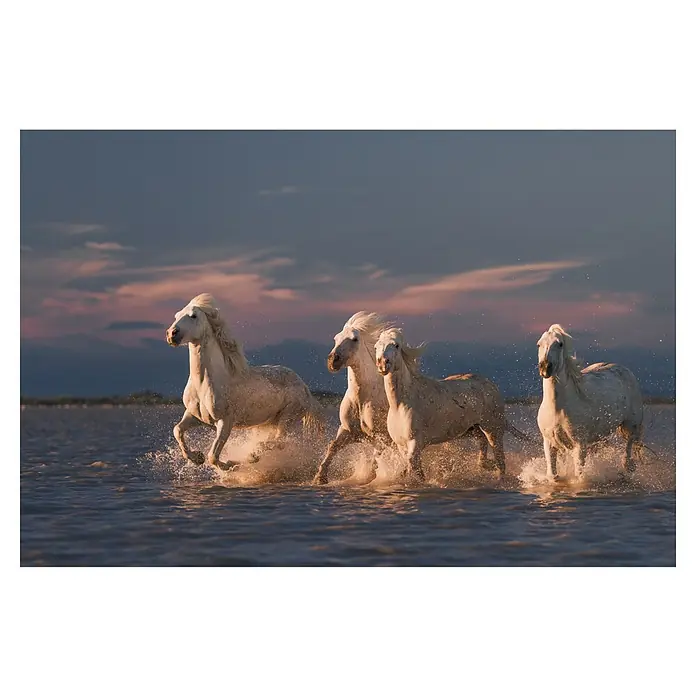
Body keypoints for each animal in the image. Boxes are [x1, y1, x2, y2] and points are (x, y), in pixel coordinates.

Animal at [165, 293, 325, 470]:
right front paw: (196, 457)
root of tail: (304, 387)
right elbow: (177, 430)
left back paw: (253, 455)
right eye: (176, 316)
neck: (204, 384)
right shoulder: (194, 416)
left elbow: (213, 456)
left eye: (193, 316)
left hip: (288, 416)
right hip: (270, 421)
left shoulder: (225, 421)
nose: (171, 334)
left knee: (280, 441)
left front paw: (230, 464)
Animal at [312, 311, 396, 485]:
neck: (361, 400)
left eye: (354, 339)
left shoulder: (382, 436)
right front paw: (319, 478)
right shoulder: (348, 431)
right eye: (336, 338)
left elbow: (377, 455)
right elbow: (333, 446)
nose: (333, 360)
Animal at [374, 327, 510, 480]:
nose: (382, 364)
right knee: (483, 444)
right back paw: (485, 465)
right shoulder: (401, 445)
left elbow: (413, 466)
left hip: (493, 430)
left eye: (396, 345)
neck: (400, 404)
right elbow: (414, 468)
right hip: (474, 429)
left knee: (500, 459)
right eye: (376, 347)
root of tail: (492, 385)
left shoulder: (415, 442)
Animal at [536, 324, 644, 480]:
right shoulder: (549, 442)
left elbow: (579, 475)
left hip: (631, 425)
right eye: (539, 344)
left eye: (560, 344)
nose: (545, 368)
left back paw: (627, 466)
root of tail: (626, 370)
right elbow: (552, 475)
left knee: (629, 444)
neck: (558, 408)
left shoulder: (580, 444)